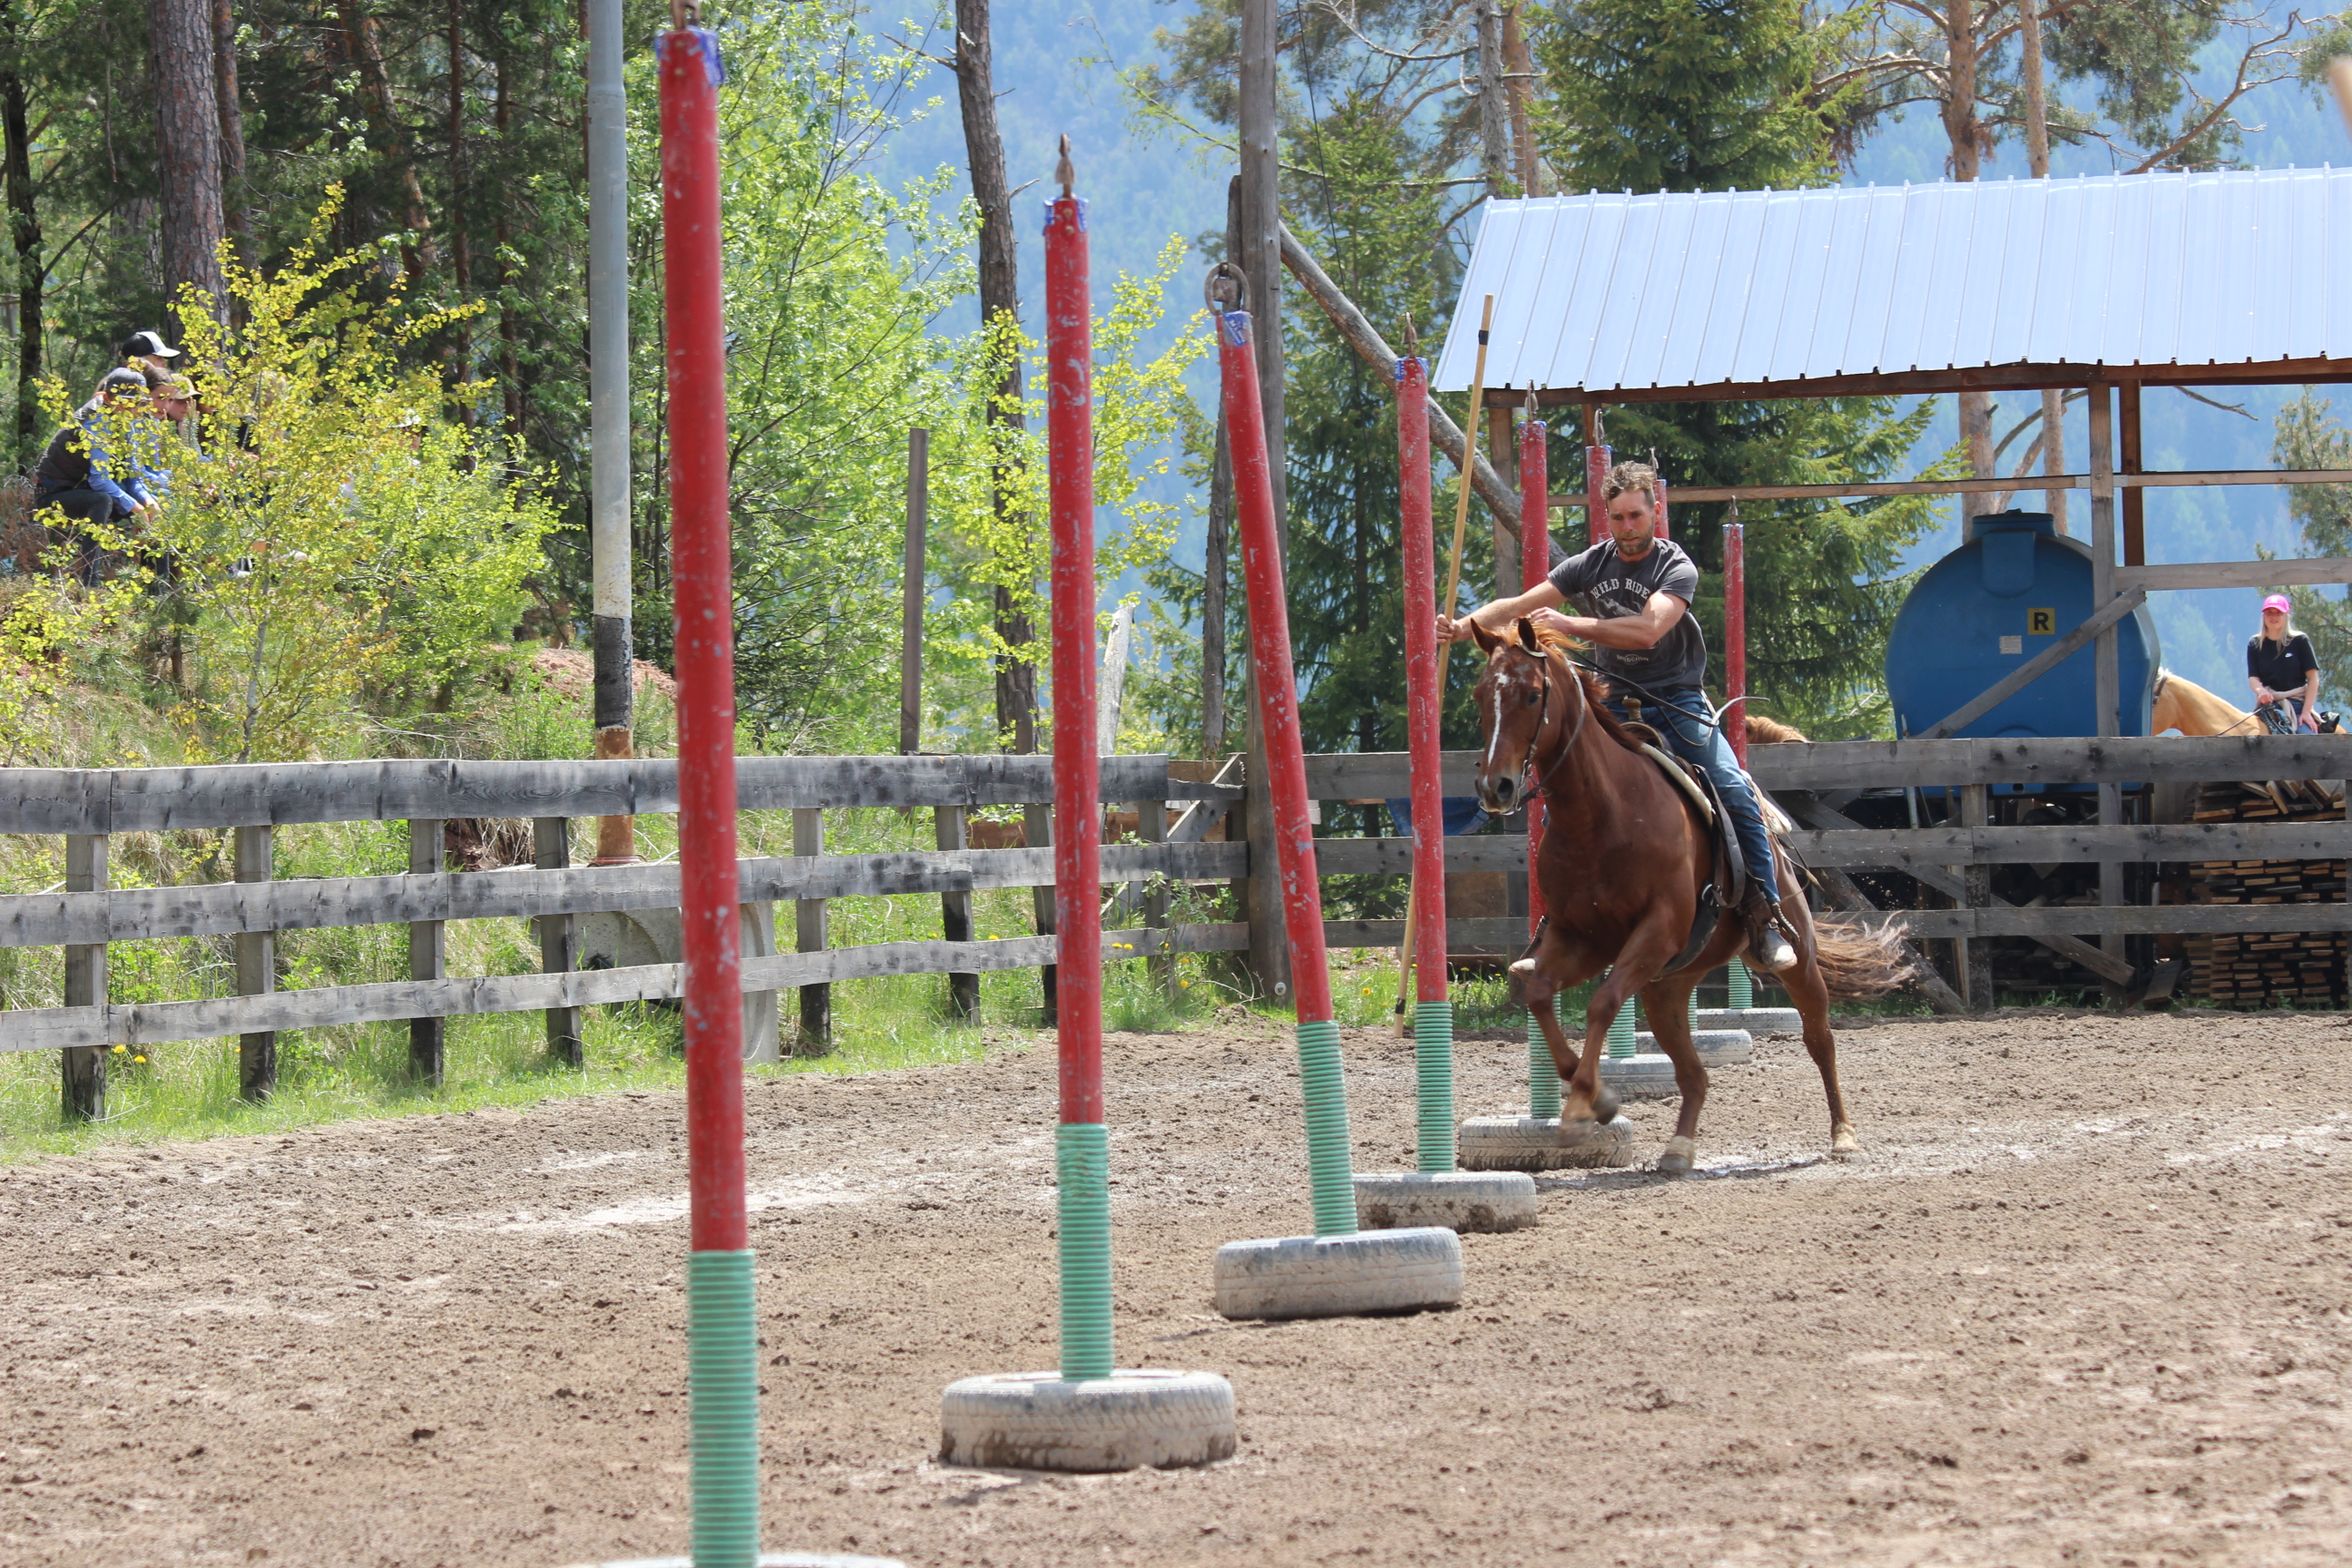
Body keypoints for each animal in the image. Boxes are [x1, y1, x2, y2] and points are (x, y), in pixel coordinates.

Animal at [1466, 618, 1914, 1172]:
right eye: (1481, 695)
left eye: (1531, 694)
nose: (1496, 787)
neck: (1601, 814)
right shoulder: (1581, 939)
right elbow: (1540, 995)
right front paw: (1597, 1098)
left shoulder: (1657, 930)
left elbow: (1602, 1004)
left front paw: (1584, 1106)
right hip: (1669, 987)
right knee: (1693, 1072)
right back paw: (1679, 1148)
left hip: (1798, 958)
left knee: (1820, 1040)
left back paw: (1842, 1134)